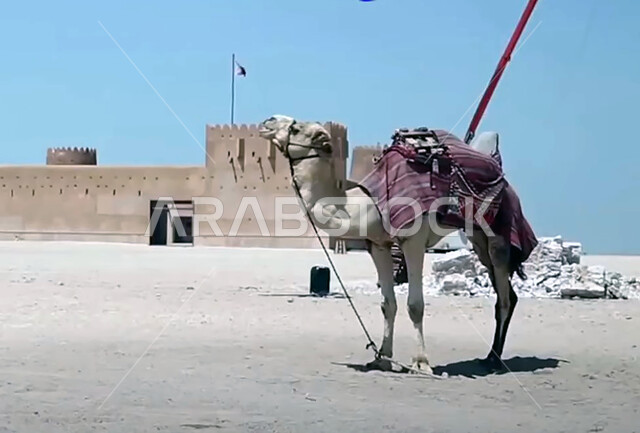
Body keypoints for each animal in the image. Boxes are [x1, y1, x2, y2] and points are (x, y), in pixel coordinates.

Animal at [258, 115, 536, 373]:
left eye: (296, 128)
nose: (267, 121)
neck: (367, 205)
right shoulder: (378, 245)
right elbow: (387, 304)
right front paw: (382, 357)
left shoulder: (413, 240)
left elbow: (415, 305)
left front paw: (421, 363)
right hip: (478, 239)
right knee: (507, 293)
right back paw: (489, 357)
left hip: (498, 235)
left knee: (504, 298)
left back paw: (495, 361)